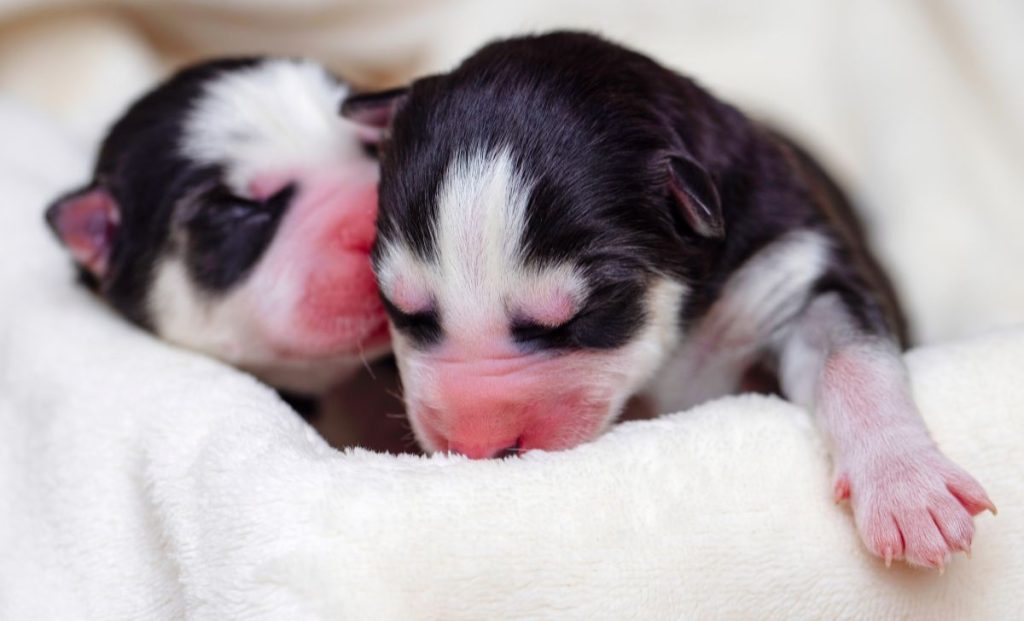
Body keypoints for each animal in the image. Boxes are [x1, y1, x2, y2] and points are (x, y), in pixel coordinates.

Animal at [342, 32, 991, 569]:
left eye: (587, 312)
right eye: (401, 309)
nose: (478, 450)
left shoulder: (793, 267)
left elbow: (850, 358)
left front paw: (909, 489)